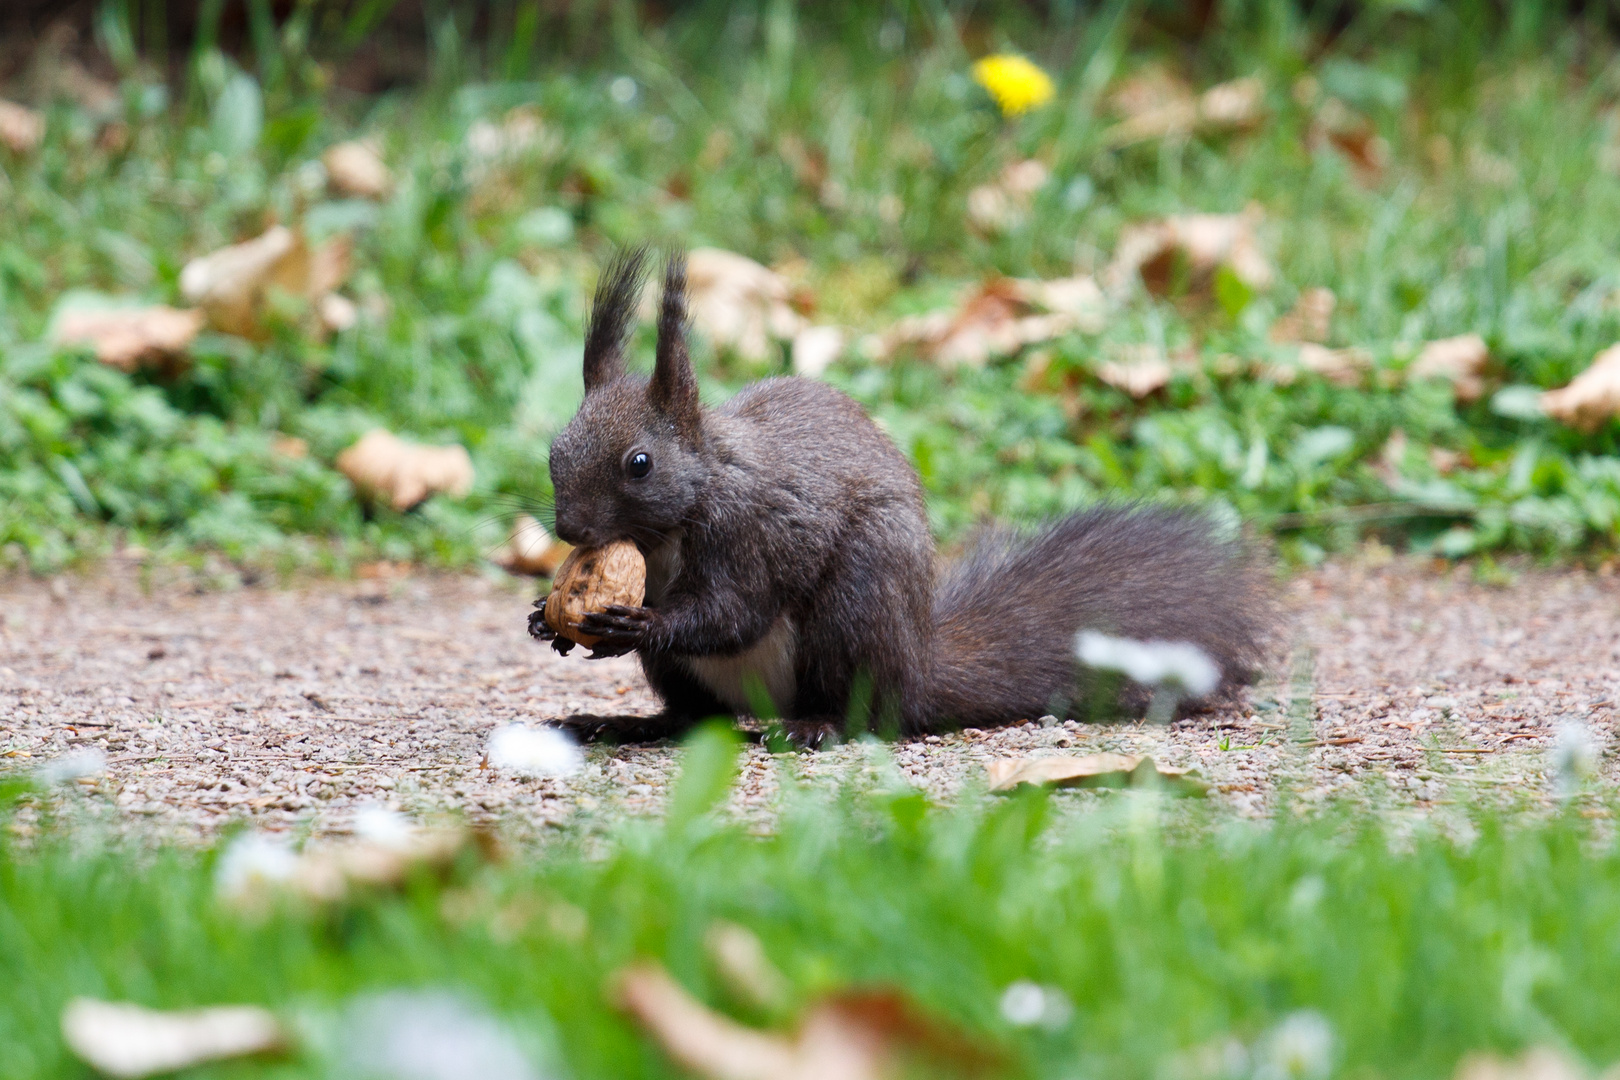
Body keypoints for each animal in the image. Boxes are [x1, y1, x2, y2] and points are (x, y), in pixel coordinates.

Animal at [524, 249, 1270, 748]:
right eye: (555, 449)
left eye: (639, 464)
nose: (571, 529)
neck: (687, 507)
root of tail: (917, 669)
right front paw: (543, 619)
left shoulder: (756, 528)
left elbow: (733, 611)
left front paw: (638, 622)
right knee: (693, 719)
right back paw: (619, 724)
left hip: (857, 604)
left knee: (866, 715)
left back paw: (818, 725)